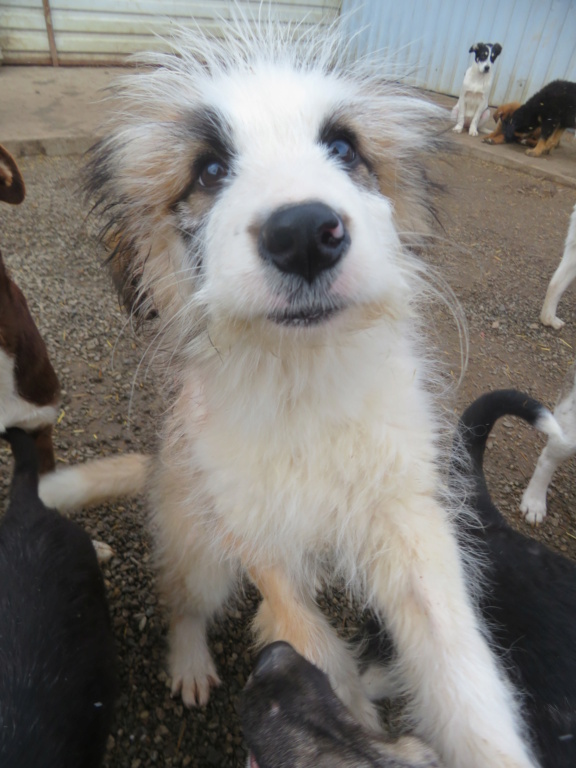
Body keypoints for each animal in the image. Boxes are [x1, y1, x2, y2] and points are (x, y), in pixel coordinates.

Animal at [40, 19, 540, 768]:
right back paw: (190, 659)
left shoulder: (409, 520)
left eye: (344, 147)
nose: (304, 233)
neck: (302, 381)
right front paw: (339, 716)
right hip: (196, 533)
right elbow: (312, 645)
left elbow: (458, 669)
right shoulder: (251, 524)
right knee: (184, 595)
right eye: (209, 171)